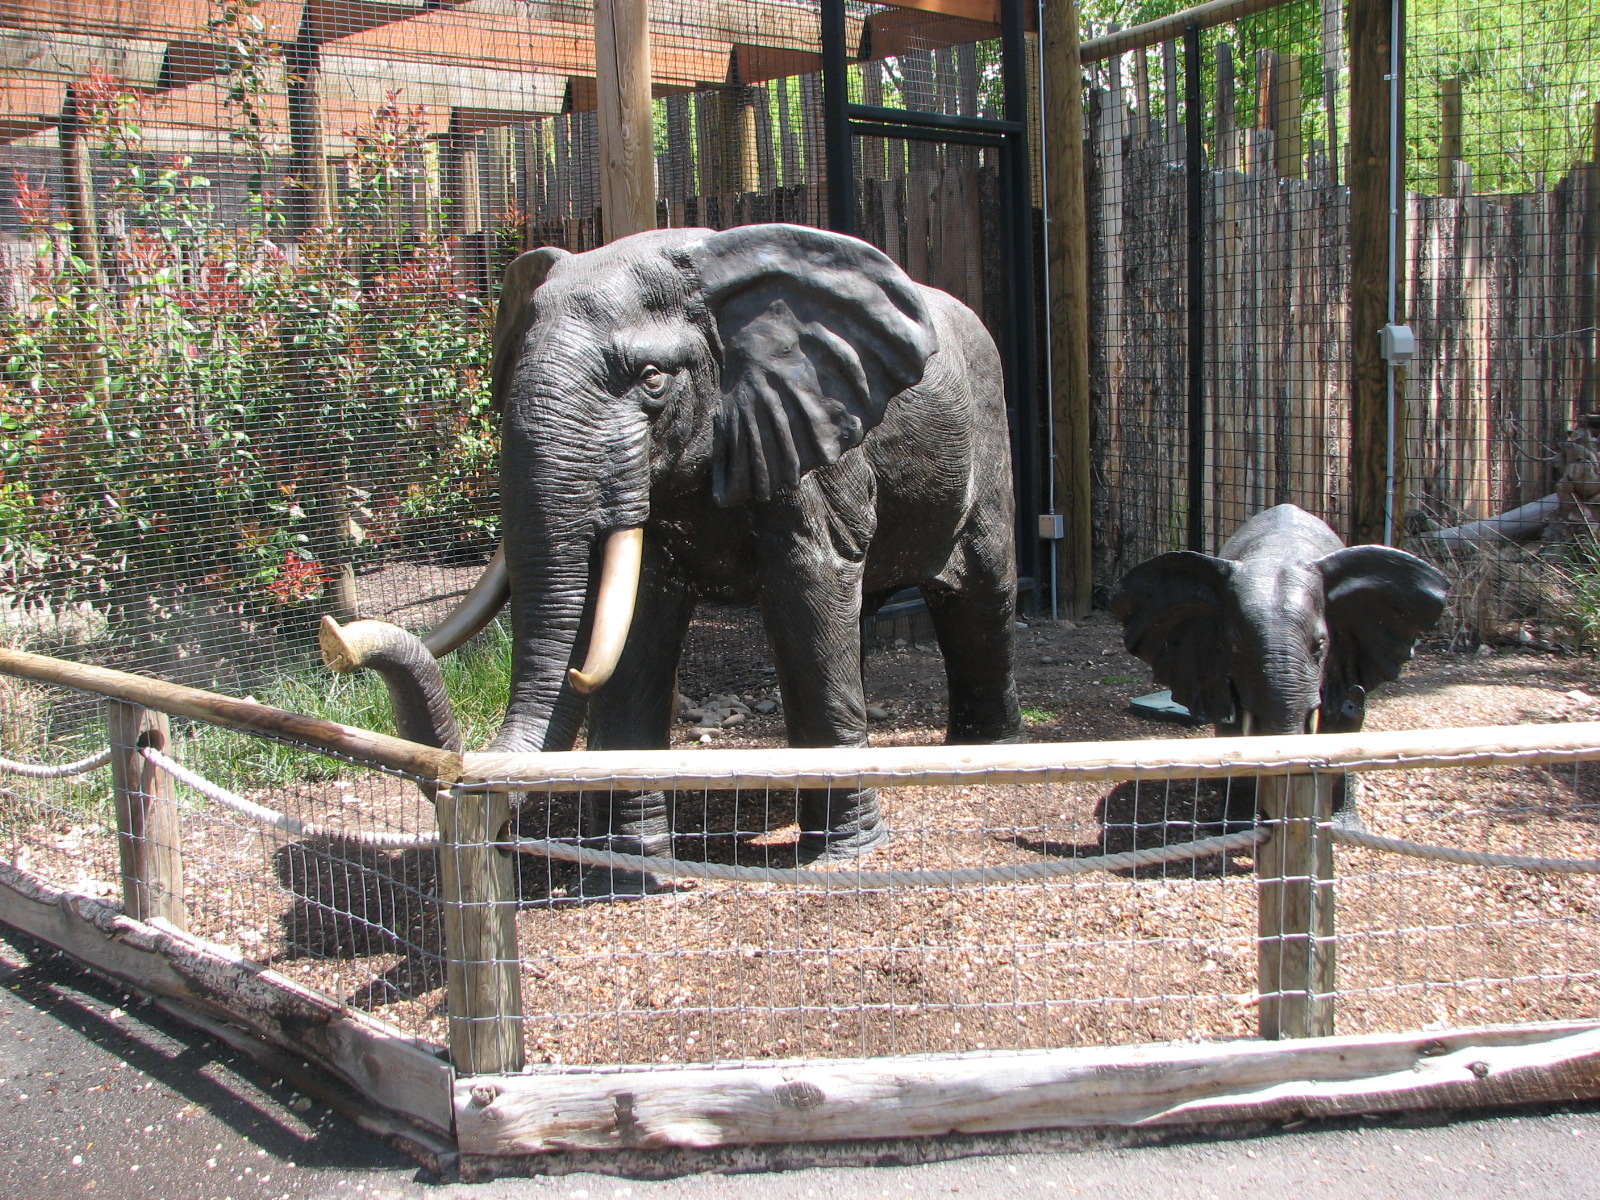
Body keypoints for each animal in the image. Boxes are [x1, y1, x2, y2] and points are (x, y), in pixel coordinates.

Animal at [319, 223, 1024, 894]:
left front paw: (843, 857)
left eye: (652, 379)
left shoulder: (818, 444)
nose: (337, 642)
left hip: (989, 429)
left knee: (981, 597)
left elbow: (810, 585)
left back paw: (990, 758)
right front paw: (624, 871)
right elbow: (638, 620)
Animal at [1108, 504, 1450, 825]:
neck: (1277, 553)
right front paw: (1236, 829)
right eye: (1234, 647)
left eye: (1320, 646)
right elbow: (1233, 727)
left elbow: (1342, 723)